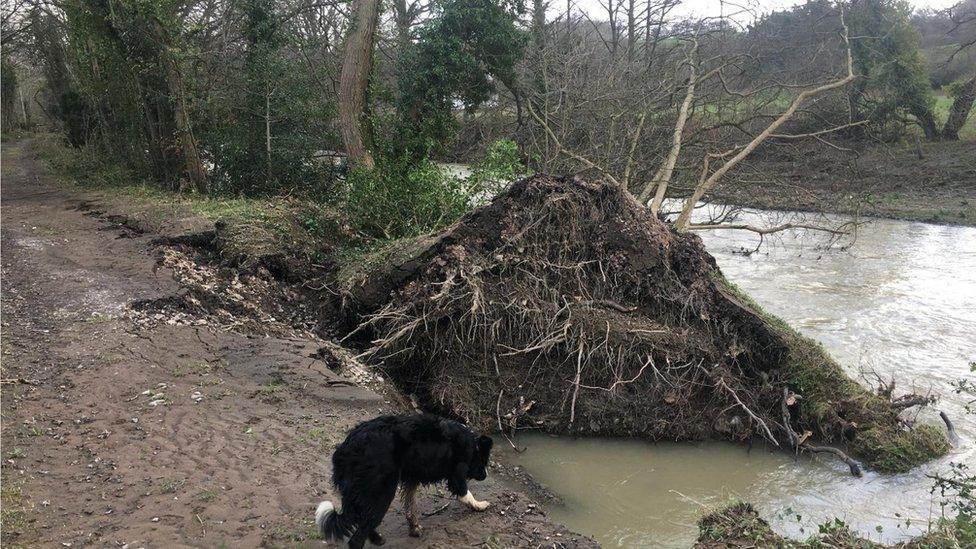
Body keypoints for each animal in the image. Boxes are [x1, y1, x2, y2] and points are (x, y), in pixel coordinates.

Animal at [314, 414, 492, 544]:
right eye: (484, 461)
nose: (485, 476)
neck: (472, 444)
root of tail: (347, 448)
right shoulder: (456, 474)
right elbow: (465, 494)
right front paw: (479, 505)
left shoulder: (412, 478)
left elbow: (410, 506)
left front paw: (414, 528)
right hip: (383, 492)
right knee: (357, 538)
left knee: (363, 520)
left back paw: (377, 539)